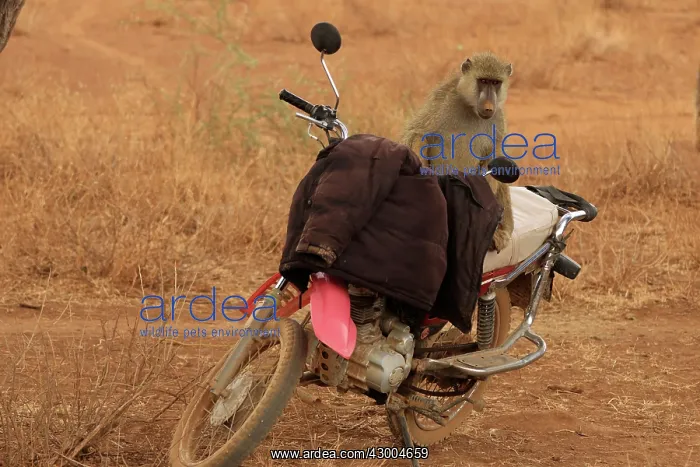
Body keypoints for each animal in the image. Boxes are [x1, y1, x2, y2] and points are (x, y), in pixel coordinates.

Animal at [401, 51, 514, 252]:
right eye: (483, 80)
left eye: (495, 83)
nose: (488, 107)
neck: (470, 107)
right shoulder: (442, 103)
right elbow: (416, 135)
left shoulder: (498, 120)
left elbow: (494, 160)